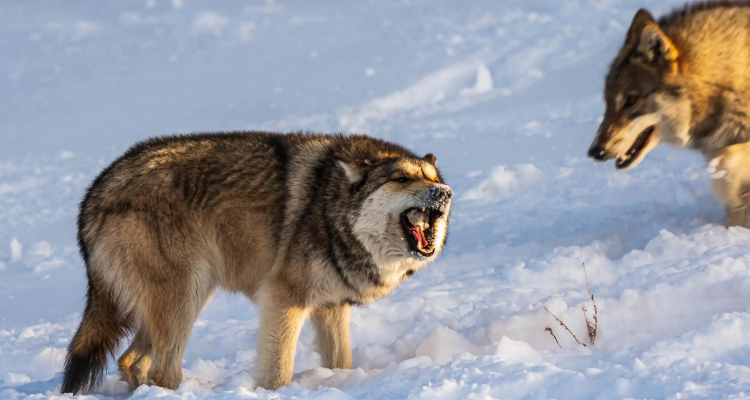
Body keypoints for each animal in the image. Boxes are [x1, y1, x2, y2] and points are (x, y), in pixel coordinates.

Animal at [60, 132, 452, 394]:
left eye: (432, 179)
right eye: (401, 179)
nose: (445, 193)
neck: (330, 212)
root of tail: (94, 193)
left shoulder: (331, 306)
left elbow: (341, 361)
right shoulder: (283, 297)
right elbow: (279, 370)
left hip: (185, 298)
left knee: (131, 362)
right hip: (186, 296)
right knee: (161, 372)